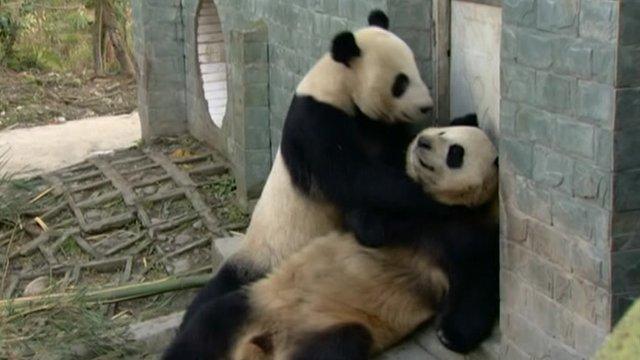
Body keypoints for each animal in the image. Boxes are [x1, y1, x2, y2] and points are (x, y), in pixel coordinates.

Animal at [164, 124, 500, 360]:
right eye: (441, 130)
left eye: (455, 152)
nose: (423, 142)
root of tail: (270, 341)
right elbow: (366, 221)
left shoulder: (472, 233)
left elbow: (479, 283)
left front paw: (450, 335)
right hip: (255, 303)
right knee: (207, 328)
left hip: (334, 327)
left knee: (333, 349)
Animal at [175, 9, 464, 332]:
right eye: (400, 82)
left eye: (415, 69)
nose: (426, 106)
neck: (337, 86)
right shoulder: (315, 122)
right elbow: (352, 178)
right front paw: (433, 197)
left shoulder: (375, 125)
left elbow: (391, 156)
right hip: (266, 257)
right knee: (218, 294)